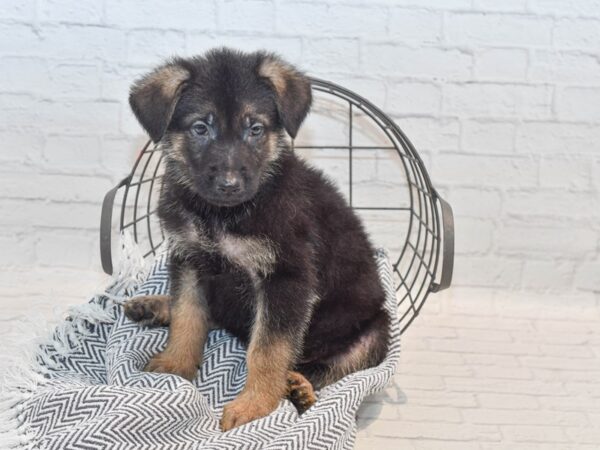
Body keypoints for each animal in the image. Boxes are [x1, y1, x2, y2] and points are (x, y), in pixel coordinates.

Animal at [124, 47, 392, 430]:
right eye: (200, 128)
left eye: (255, 129)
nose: (230, 185)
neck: (222, 215)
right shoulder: (188, 259)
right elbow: (188, 315)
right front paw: (176, 364)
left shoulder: (285, 278)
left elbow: (267, 349)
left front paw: (255, 404)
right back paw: (155, 306)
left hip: (374, 332)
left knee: (327, 366)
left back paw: (299, 386)